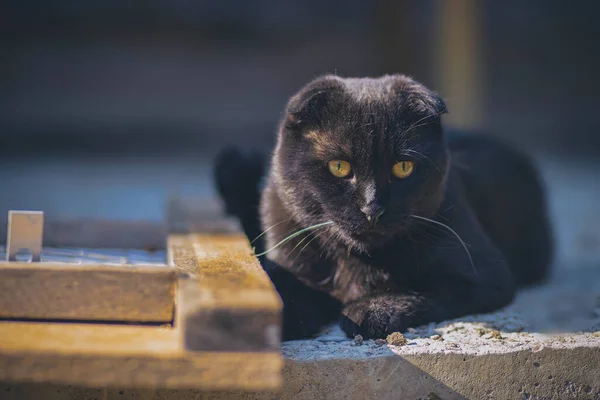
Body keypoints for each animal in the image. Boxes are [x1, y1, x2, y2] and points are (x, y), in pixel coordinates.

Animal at [212, 76, 552, 340]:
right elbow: (282, 287)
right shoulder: (288, 256)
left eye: (403, 167)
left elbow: (425, 288)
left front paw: (370, 310)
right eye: (339, 166)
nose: (372, 207)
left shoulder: (486, 275)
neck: (357, 262)